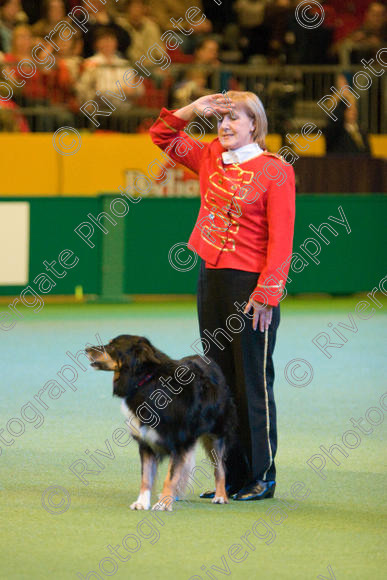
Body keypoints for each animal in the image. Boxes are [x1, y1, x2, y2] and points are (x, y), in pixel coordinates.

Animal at [87, 334, 238, 510]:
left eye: (112, 346)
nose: (86, 349)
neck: (146, 382)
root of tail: (209, 362)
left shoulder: (179, 443)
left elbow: (170, 476)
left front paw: (164, 504)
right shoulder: (146, 442)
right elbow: (146, 477)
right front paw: (142, 502)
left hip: (216, 433)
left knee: (219, 467)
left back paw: (220, 495)